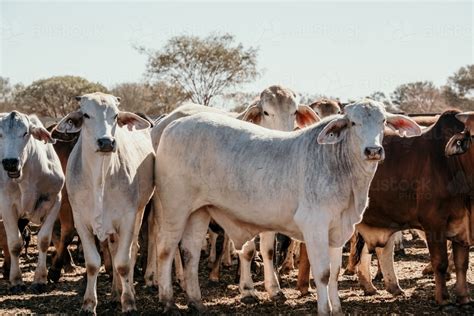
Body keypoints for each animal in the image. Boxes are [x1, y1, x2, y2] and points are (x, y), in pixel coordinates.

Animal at [0, 111, 64, 294]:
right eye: (0, 134)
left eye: (25, 133)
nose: (10, 162)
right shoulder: (6, 205)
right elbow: (14, 243)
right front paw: (16, 280)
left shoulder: (55, 201)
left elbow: (43, 240)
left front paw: (40, 279)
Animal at [54, 92, 154, 314]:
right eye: (86, 115)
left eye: (115, 115)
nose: (106, 142)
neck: (100, 177)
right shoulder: (81, 221)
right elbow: (93, 264)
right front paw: (88, 304)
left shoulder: (127, 218)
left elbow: (124, 263)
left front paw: (129, 303)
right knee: (113, 250)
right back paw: (116, 294)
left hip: (140, 212)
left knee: (130, 251)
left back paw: (126, 292)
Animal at [154, 100, 420, 314]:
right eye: (353, 123)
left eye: (383, 121)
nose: (373, 150)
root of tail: (173, 126)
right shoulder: (314, 227)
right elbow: (322, 273)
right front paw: (324, 309)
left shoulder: (337, 231)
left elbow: (334, 273)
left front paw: (337, 309)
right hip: (175, 208)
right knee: (166, 250)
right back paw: (168, 302)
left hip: (199, 211)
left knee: (190, 252)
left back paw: (196, 302)